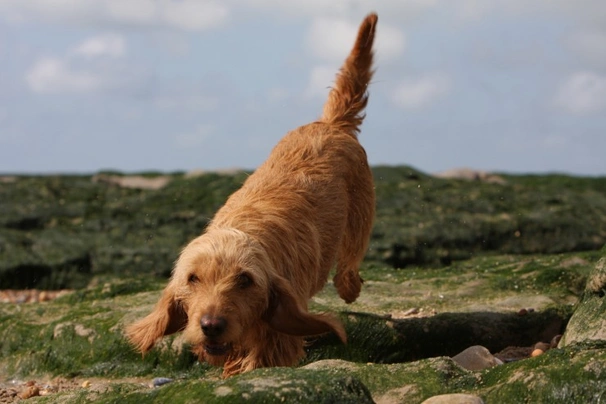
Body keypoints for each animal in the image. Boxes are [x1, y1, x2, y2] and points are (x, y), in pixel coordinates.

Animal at [126, 13, 378, 378]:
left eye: (244, 280)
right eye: (193, 278)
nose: (211, 325)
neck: (245, 227)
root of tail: (329, 124)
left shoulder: (278, 337)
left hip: (360, 218)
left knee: (348, 265)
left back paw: (350, 284)